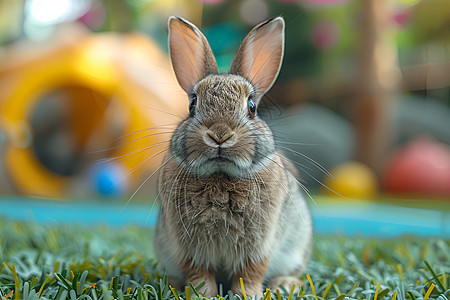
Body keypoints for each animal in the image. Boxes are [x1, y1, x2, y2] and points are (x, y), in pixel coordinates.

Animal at [155, 15, 312, 298]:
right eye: (192, 105)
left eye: (252, 107)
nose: (219, 134)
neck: (220, 175)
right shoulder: (188, 249)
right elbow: (199, 274)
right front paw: (201, 295)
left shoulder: (259, 248)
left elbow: (249, 273)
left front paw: (246, 295)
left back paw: (285, 284)